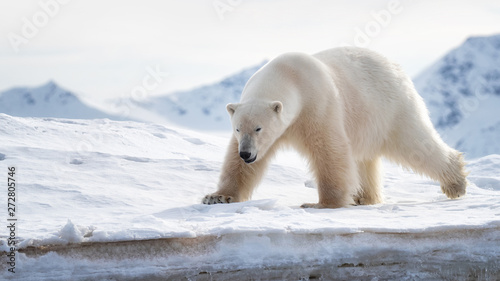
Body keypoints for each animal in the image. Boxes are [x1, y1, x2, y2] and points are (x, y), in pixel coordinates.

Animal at [201, 46, 466, 208]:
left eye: (259, 128)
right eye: (238, 129)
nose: (246, 154)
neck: (288, 76)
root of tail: (394, 65)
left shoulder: (317, 104)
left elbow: (329, 149)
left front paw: (321, 203)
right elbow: (236, 164)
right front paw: (217, 196)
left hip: (392, 108)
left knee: (415, 143)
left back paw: (456, 184)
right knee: (364, 159)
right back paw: (363, 197)